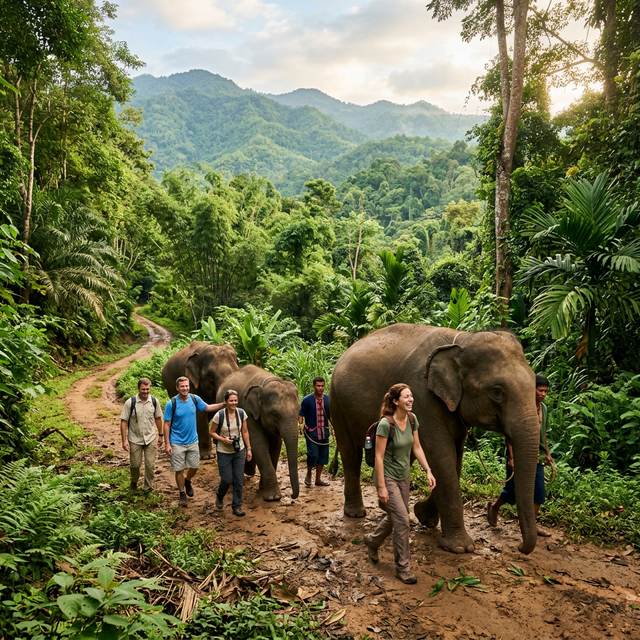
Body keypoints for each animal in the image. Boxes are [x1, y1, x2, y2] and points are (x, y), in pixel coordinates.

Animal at [217, 365, 300, 501]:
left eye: (299, 411)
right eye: (275, 414)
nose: (292, 496)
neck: (265, 384)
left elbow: (275, 445)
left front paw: (263, 489)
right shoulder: (248, 412)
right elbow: (258, 444)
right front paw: (273, 497)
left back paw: (248, 471)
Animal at [329, 324, 541, 555]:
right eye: (497, 392)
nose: (520, 547)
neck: (463, 340)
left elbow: (454, 461)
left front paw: (424, 517)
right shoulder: (422, 396)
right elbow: (441, 457)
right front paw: (460, 548)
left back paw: (386, 507)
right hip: (337, 402)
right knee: (350, 453)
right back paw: (356, 513)